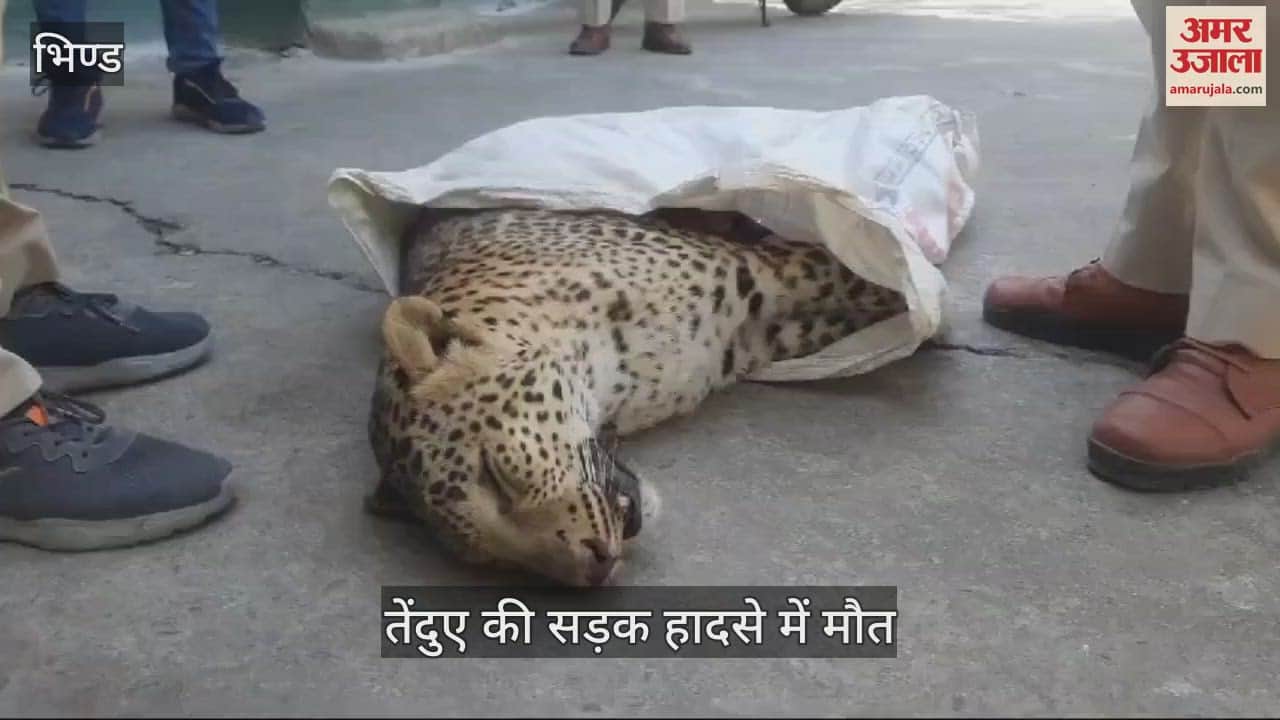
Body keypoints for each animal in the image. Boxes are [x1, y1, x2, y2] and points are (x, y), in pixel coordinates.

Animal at [365, 207, 907, 587]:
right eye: (497, 559)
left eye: (498, 477)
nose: (595, 568)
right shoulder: (758, 335)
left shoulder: (754, 271)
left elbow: (847, 274)